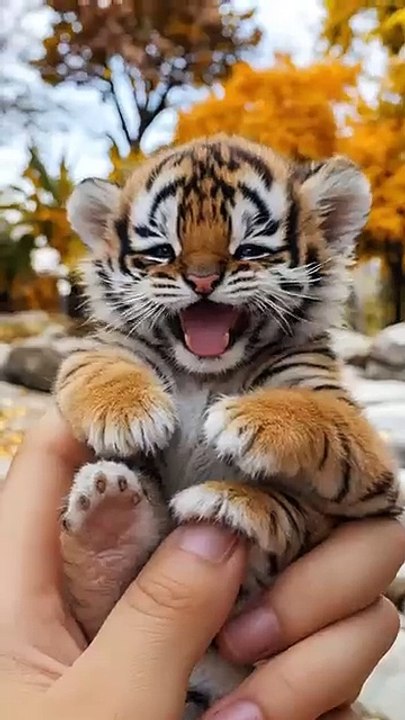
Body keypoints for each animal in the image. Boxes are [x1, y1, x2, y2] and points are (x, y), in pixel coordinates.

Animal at [55, 134, 402, 718]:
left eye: (251, 249)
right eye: (161, 251)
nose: (201, 280)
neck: (206, 373)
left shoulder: (360, 443)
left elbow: (326, 418)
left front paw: (241, 417)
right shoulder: (104, 346)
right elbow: (96, 365)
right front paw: (128, 412)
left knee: (282, 521)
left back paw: (219, 503)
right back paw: (109, 520)